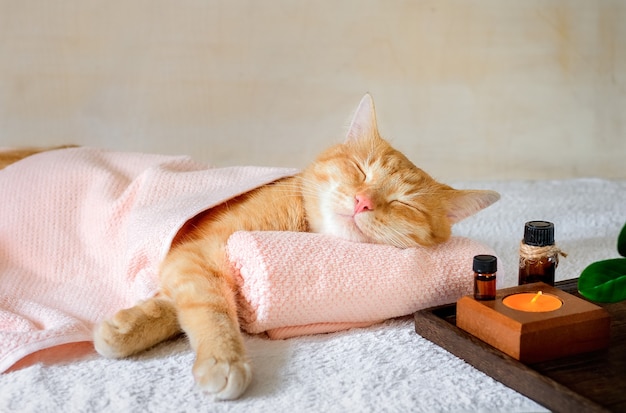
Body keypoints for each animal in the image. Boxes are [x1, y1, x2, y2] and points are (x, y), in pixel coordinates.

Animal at [0, 94, 498, 400]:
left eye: (402, 203)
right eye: (360, 169)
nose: (363, 202)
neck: (302, 225)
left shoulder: (192, 261)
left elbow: (180, 305)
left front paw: (127, 327)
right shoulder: (197, 251)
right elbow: (212, 309)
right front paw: (223, 358)